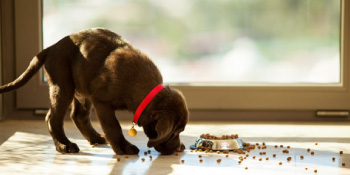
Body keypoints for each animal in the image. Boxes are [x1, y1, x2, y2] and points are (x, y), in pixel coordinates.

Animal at [0, 28, 189, 155]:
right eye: (175, 132)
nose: (180, 148)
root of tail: (51, 47)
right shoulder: (102, 102)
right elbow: (113, 126)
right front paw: (124, 147)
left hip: (82, 91)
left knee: (78, 116)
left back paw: (96, 138)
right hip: (63, 86)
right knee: (52, 118)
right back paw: (64, 146)